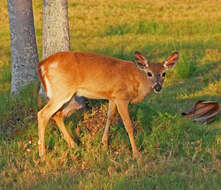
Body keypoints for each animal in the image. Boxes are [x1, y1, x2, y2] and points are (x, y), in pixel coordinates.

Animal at [37, 50, 179, 159]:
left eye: (164, 73)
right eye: (149, 73)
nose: (158, 87)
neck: (137, 83)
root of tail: (42, 65)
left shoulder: (112, 97)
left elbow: (109, 116)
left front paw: (104, 144)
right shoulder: (121, 97)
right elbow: (128, 125)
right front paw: (136, 154)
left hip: (66, 94)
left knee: (57, 115)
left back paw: (74, 145)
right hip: (62, 91)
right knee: (43, 114)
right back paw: (43, 155)